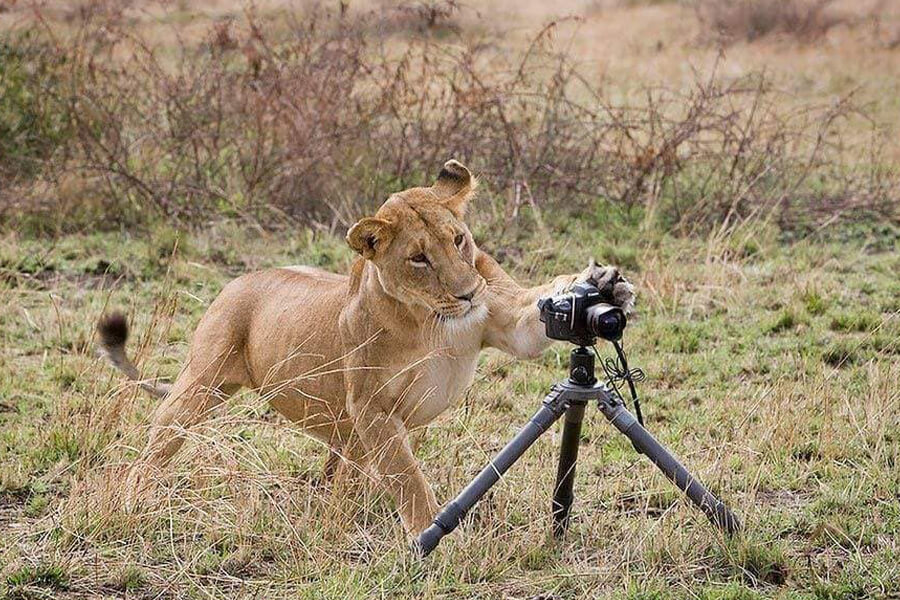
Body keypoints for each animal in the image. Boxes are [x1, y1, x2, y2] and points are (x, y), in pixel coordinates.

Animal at [98, 160, 635, 536]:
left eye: (459, 240)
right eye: (419, 259)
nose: (467, 294)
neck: (428, 321)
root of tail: (239, 279)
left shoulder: (505, 320)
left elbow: (535, 320)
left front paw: (603, 284)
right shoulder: (372, 406)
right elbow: (409, 479)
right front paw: (430, 538)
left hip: (342, 431)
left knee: (342, 478)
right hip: (199, 384)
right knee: (157, 443)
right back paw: (131, 499)